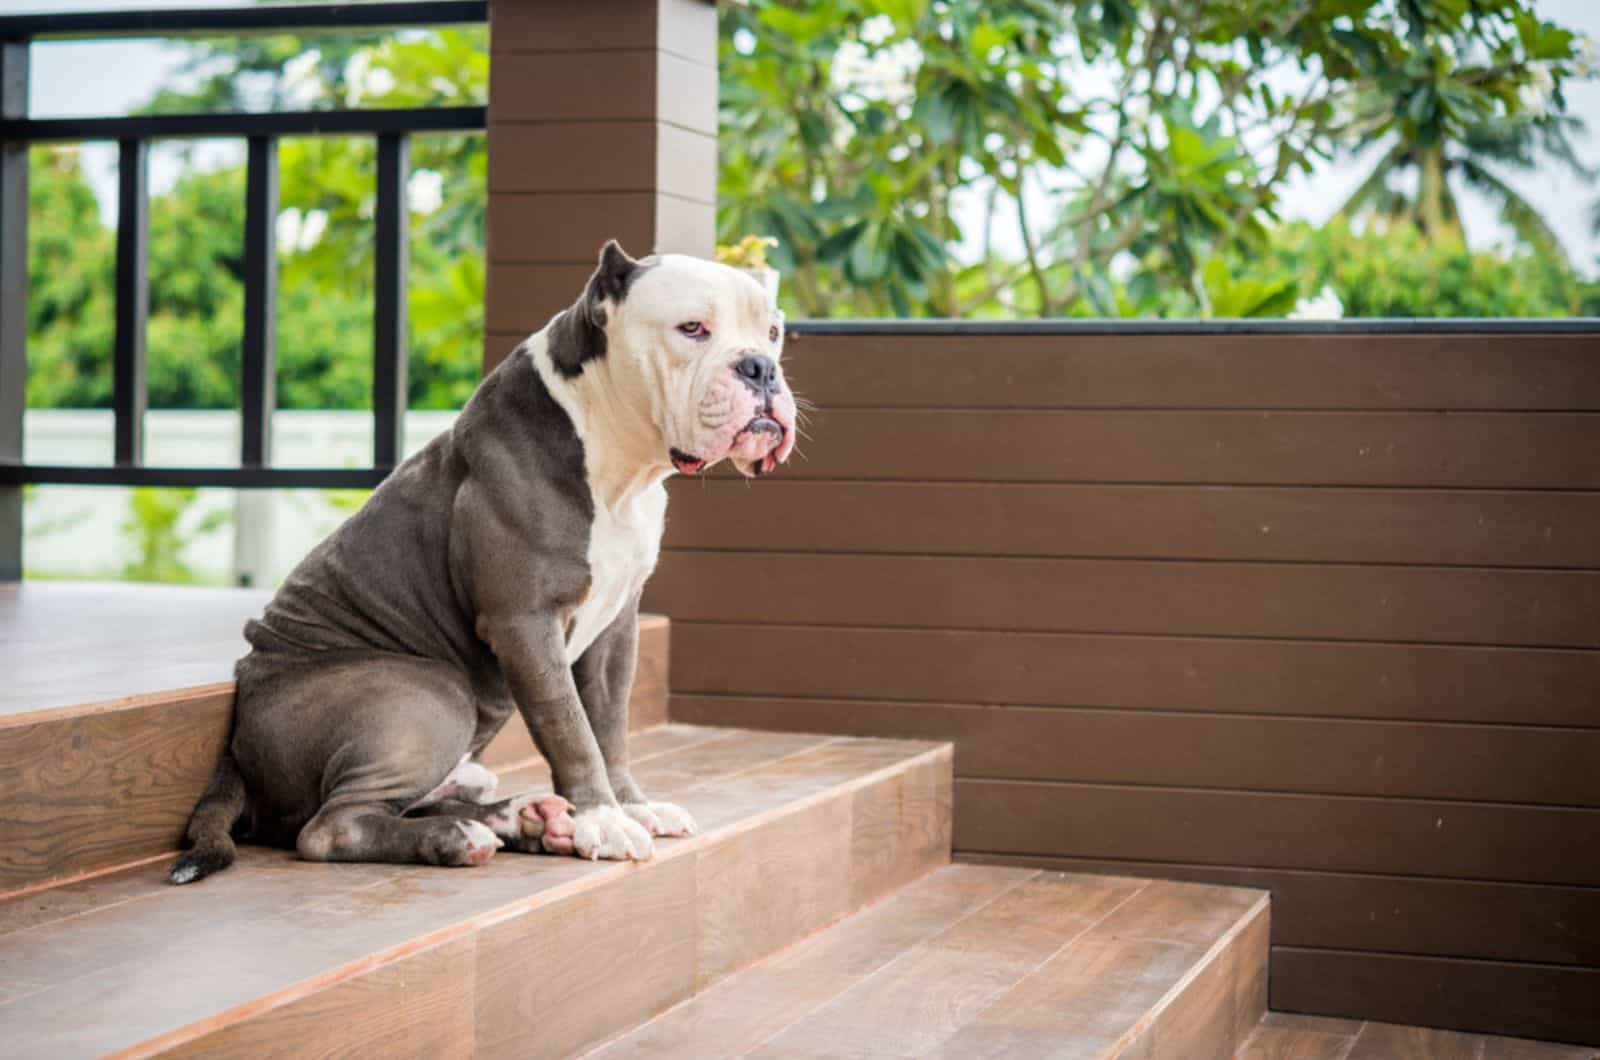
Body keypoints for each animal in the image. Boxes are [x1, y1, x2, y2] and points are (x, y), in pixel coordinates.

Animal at [172, 244, 796, 883]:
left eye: (773, 334)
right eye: (692, 329)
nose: (760, 369)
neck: (616, 461)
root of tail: (239, 744)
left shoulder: (616, 629)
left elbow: (609, 725)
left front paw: (632, 806)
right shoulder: (523, 621)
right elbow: (570, 727)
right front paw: (604, 819)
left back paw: (528, 820)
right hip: (429, 694)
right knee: (329, 827)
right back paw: (459, 836)